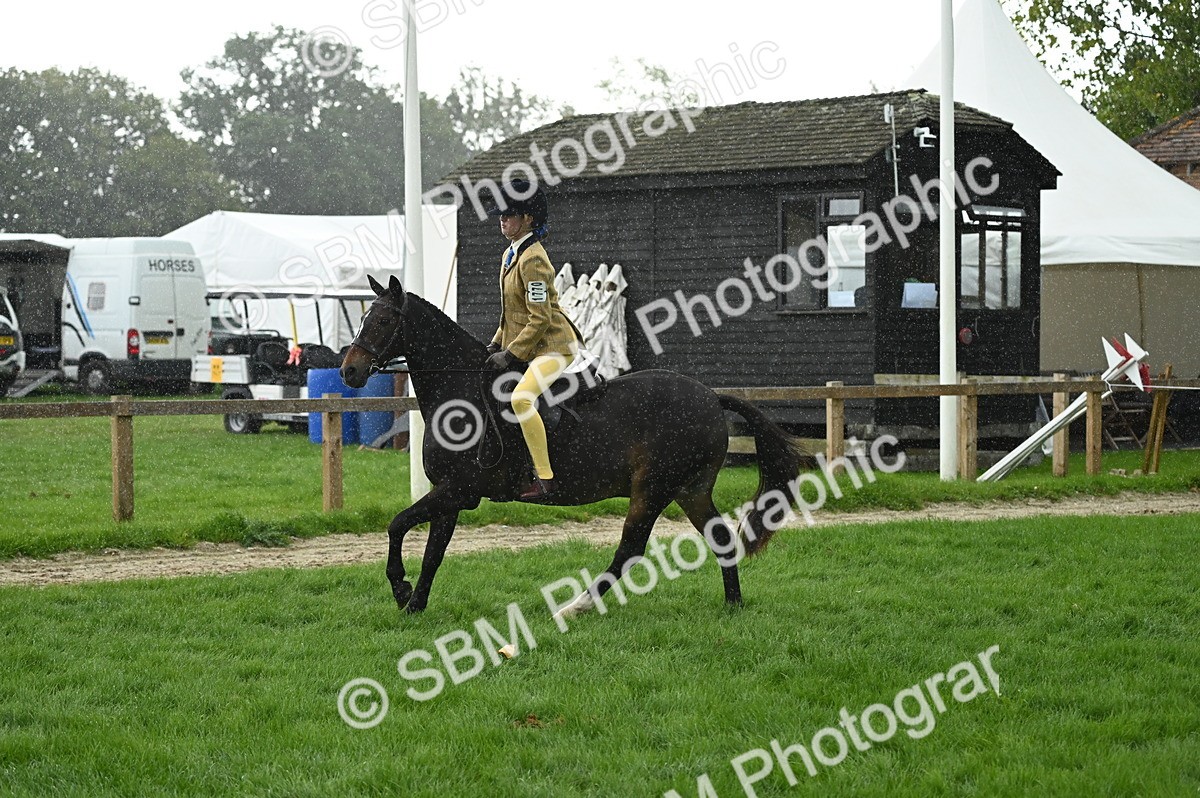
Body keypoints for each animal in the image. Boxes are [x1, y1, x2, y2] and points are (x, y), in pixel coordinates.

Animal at [339, 274, 814, 617]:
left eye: (383, 321)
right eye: (363, 318)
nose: (350, 371)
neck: (461, 393)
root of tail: (711, 397)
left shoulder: (460, 490)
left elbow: (397, 525)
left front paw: (399, 588)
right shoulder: (450, 495)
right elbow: (432, 552)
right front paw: (414, 605)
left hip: (652, 489)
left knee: (629, 550)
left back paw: (576, 605)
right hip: (689, 489)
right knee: (719, 538)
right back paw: (733, 605)